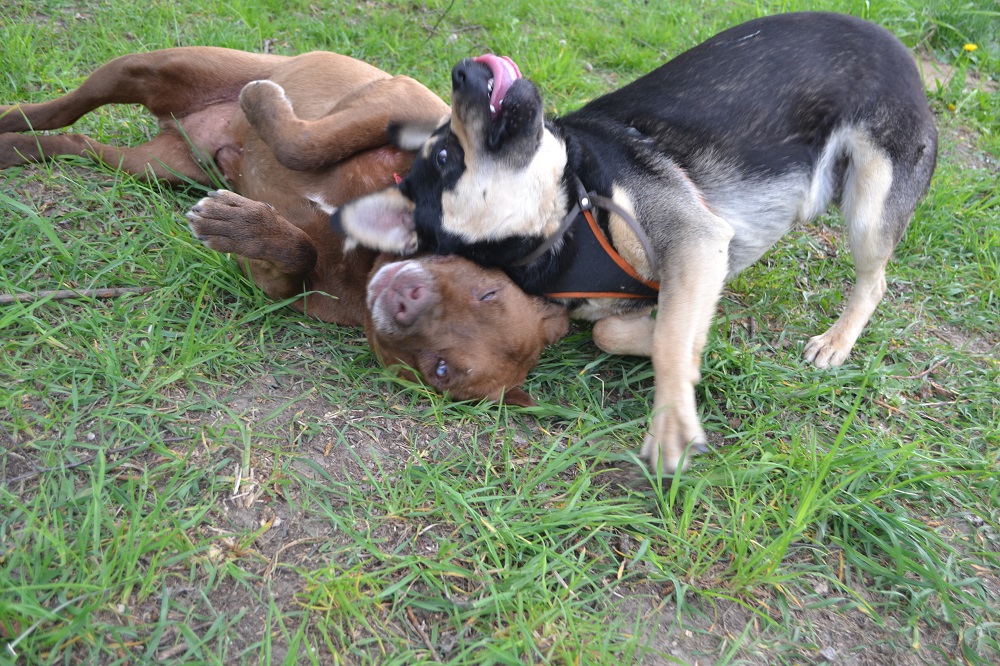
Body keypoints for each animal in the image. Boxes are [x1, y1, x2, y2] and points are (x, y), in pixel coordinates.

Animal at [0, 47, 567, 406]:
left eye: (440, 370)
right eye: (486, 291)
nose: (407, 299)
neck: (368, 254)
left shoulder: (275, 288)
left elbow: (297, 254)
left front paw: (239, 224)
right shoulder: (399, 102)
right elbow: (307, 144)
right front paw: (263, 106)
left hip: (148, 166)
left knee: (71, 142)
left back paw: (17, 146)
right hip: (151, 69)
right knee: (66, 106)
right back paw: (12, 118)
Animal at [331, 12, 938, 472]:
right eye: (442, 156)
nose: (465, 69)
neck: (568, 216)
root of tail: (888, 38)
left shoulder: (693, 236)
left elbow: (668, 337)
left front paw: (671, 417)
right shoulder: (669, 269)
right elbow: (616, 330)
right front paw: (692, 344)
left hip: (870, 207)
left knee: (874, 281)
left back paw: (836, 341)